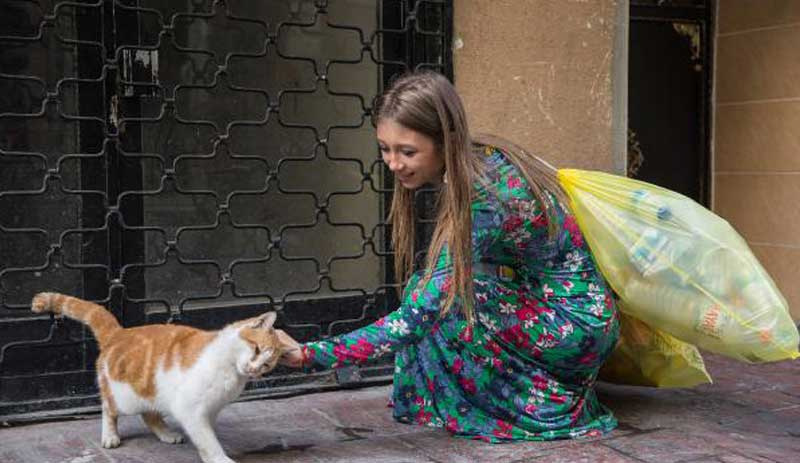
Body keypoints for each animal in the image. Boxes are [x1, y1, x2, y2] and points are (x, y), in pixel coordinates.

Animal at [32, 294, 294, 463]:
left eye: (267, 365)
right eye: (256, 349)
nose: (253, 368)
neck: (230, 371)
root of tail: (118, 333)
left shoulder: (208, 410)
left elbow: (206, 434)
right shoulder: (190, 408)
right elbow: (207, 439)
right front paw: (219, 458)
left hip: (153, 392)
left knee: (149, 414)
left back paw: (166, 433)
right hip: (125, 398)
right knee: (109, 408)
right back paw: (110, 435)